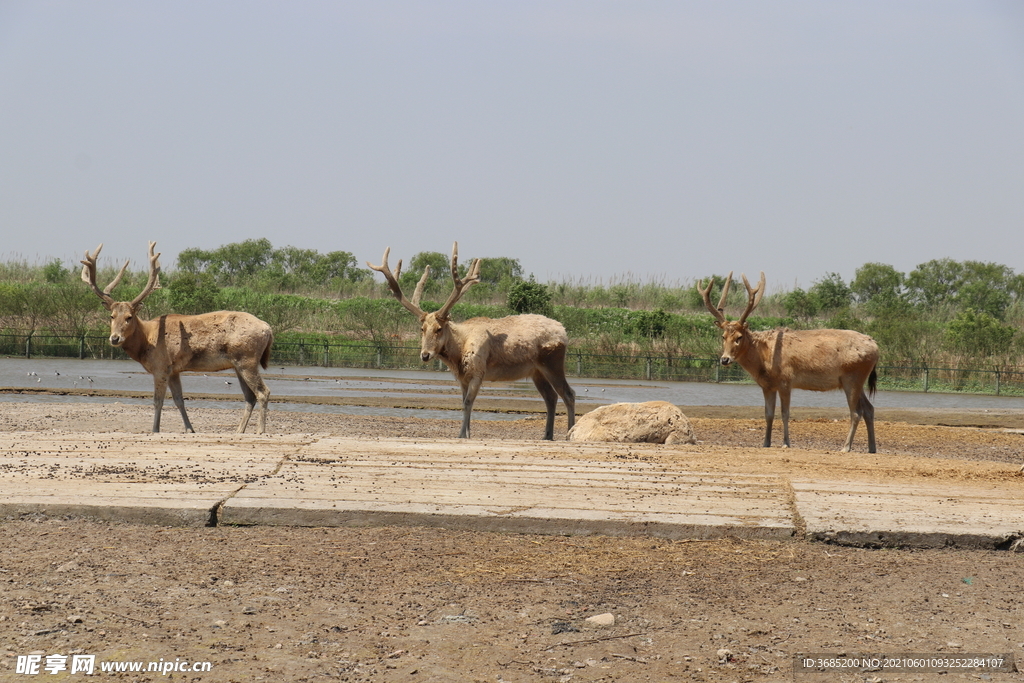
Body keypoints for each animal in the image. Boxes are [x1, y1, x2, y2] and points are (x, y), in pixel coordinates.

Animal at [80, 240, 274, 432]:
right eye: (112, 316)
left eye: (129, 317)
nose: (115, 338)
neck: (146, 342)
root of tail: (268, 328)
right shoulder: (174, 370)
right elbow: (179, 399)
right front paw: (190, 429)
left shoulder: (161, 367)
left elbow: (158, 401)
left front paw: (155, 430)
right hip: (238, 364)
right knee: (250, 396)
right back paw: (239, 431)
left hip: (247, 359)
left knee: (263, 392)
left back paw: (260, 431)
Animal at [368, 242, 577, 440]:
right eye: (422, 329)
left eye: (439, 329)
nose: (425, 355)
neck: (458, 354)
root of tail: (564, 331)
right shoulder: (462, 377)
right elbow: (463, 402)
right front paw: (467, 433)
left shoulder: (478, 371)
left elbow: (468, 402)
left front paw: (462, 434)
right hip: (536, 371)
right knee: (551, 396)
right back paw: (547, 435)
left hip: (553, 362)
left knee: (568, 393)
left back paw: (569, 433)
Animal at [696, 272, 880, 454]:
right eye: (723, 336)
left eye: (739, 337)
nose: (725, 359)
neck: (763, 360)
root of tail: (876, 348)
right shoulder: (767, 386)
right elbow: (768, 414)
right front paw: (766, 442)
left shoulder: (786, 381)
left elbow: (785, 413)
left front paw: (786, 443)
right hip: (855, 380)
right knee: (869, 408)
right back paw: (872, 448)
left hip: (853, 376)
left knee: (856, 412)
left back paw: (846, 447)